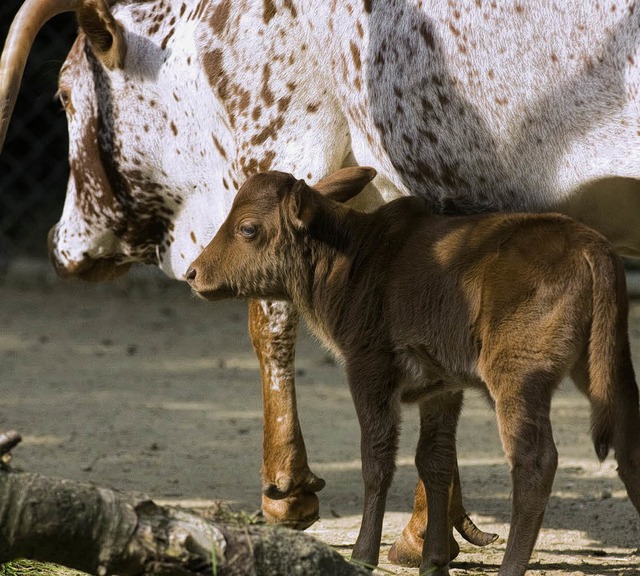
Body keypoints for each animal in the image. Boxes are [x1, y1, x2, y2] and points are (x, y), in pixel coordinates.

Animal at [186, 169, 640, 572]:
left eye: (248, 228)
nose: (193, 273)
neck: (350, 263)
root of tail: (593, 247)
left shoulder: (368, 365)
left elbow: (377, 458)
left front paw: (363, 554)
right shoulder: (442, 385)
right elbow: (434, 459)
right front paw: (433, 560)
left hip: (519, 374)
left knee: (534, 462)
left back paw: (511, 566)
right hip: (607, 363)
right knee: (627, 446)